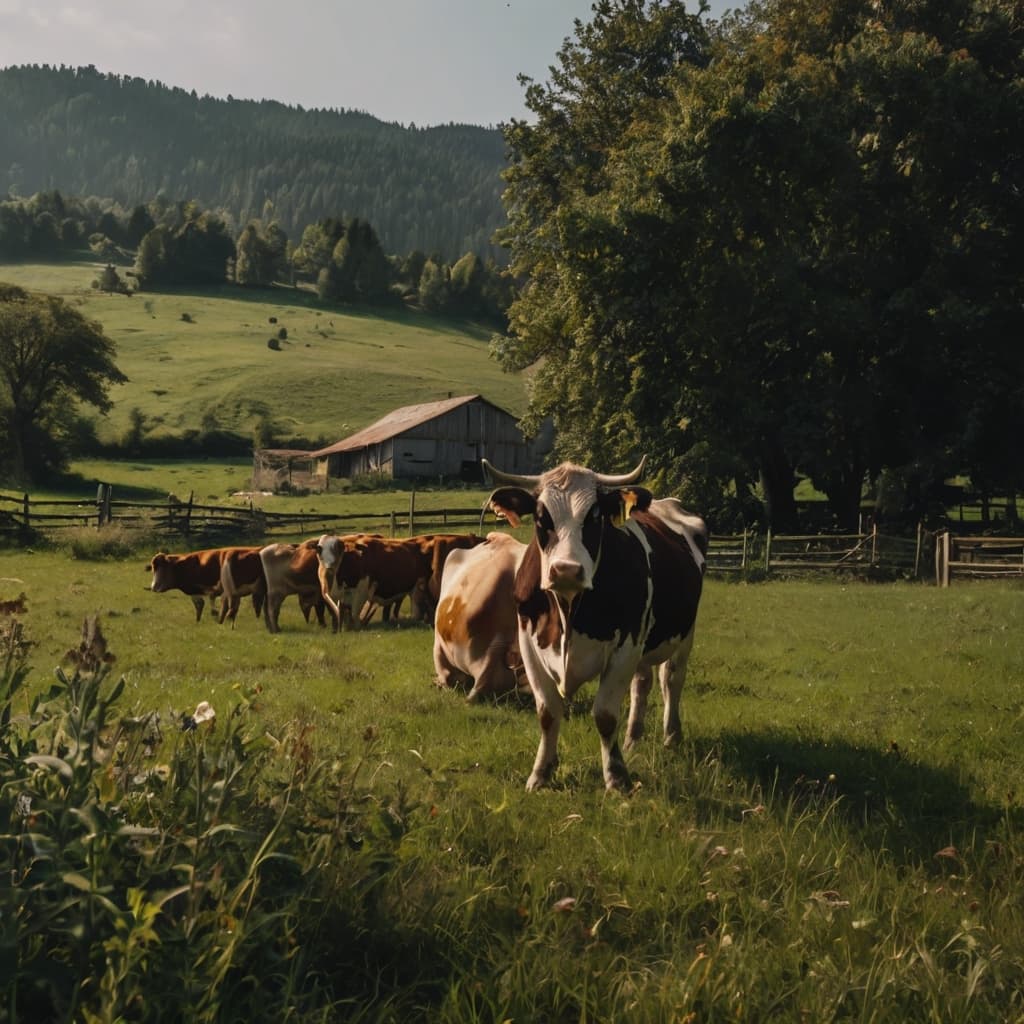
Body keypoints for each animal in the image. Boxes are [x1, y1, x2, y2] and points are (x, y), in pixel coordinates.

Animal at [479, 458, 704, 790]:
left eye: (595, 516)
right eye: (541, 516)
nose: (566, 570)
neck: (568, 611)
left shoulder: (626, 646)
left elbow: (605, 715)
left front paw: (616, 778)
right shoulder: (528, 643)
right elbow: (548, 713)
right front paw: (540, 774)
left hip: (684, 633)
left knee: (672, 679)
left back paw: (671, 736)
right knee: (642, 684)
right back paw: (632, 740)